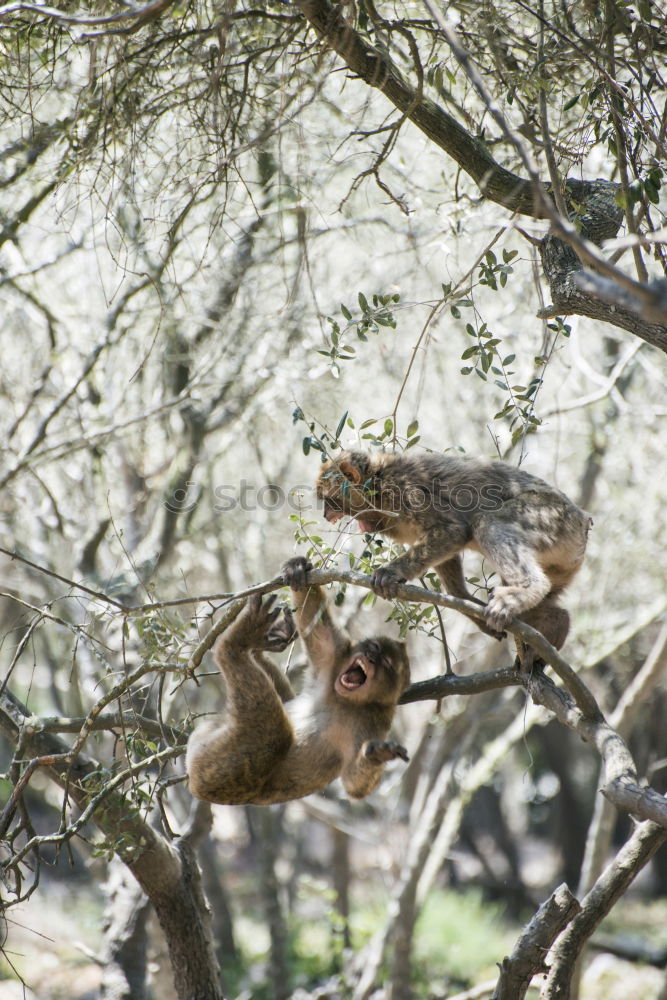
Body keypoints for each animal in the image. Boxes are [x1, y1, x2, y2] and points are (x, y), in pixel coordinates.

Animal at [185, 560, 410, 808]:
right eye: (375, 647)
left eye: (387, 662)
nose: (371, 657)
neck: (347, 701)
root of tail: (196, 786)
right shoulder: (334, 663)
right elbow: (317, 628)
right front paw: (297, 570)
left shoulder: (373, 722)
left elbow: (354, 785)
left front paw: (377, 756)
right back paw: (259, 643)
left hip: (223, 773)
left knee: (276, 736)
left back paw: (235, 645)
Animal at [316, 452, 592, 648]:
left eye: (330, 500)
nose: (325, 514)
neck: (378, 480)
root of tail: (583, 521)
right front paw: (465, 601)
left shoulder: (404, 490)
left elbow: (454, 531)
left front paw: (391, 573)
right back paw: (556, 623)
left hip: (551, 517)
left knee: (487, 522)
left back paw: (526, 590)